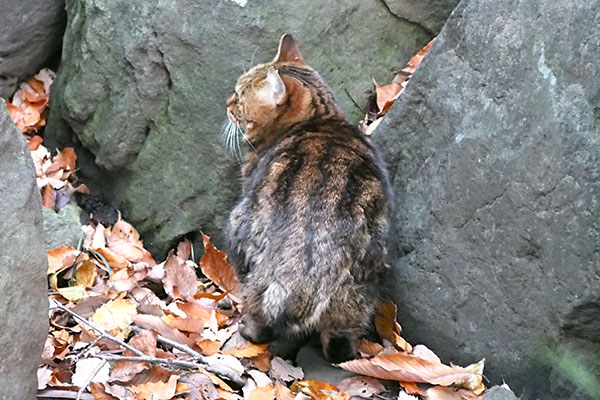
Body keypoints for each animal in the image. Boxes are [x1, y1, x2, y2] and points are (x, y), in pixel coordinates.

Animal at [225, 34, 394, 362]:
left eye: (239, 97)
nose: (226, 102)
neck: (320, 117)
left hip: (241, 236)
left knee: (260, 316)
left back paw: (248, 328)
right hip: (362, 285)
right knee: (340, 344)